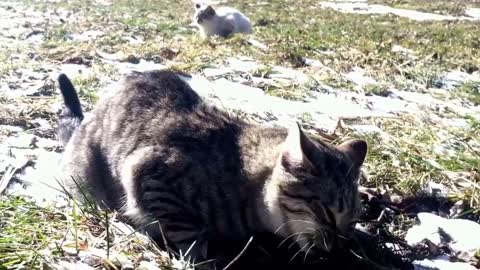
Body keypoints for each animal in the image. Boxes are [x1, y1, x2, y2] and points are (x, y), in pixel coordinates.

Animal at [59, 70, 368, 266]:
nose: (339, 246)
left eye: (352, 221)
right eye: (327, 212)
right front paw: (201, 256)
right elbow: (187, 233)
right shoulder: (149, 174)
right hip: (87, 182)